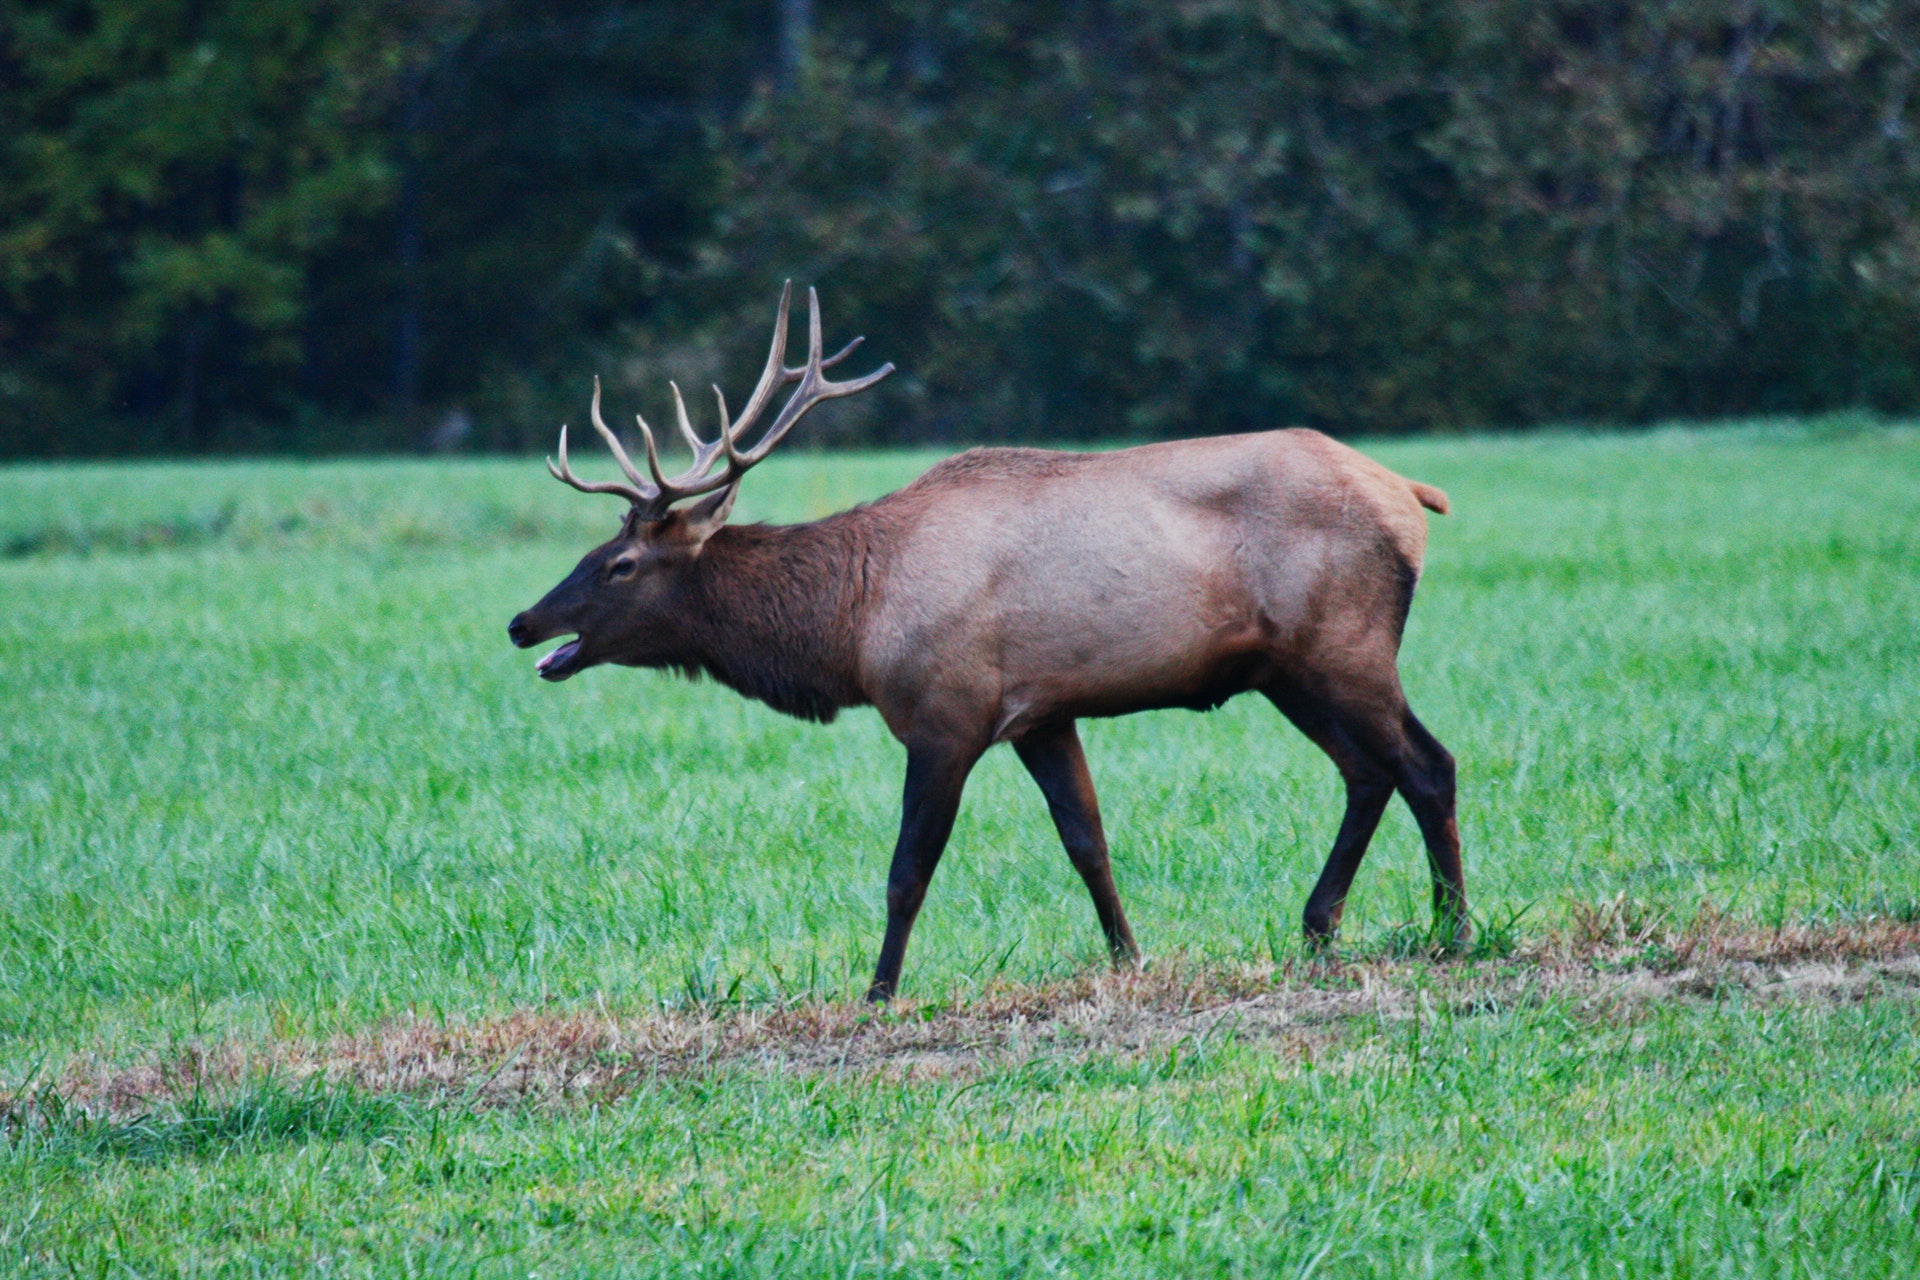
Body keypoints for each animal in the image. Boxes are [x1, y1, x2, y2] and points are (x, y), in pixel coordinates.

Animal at [510, 285, 1466, 1005]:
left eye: (620, 564)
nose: (524, 622)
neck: (851, 624)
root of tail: (1413, 495)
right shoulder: (1041, 715)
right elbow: (1088, 842)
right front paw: (1130, 958)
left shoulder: (947, 714)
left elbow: (908, 869)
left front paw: (879, 991)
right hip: (1288, 670)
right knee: (1368, 771)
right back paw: (1320, 926)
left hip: (1344, 646)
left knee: (1426, 763)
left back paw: (1451, 928)